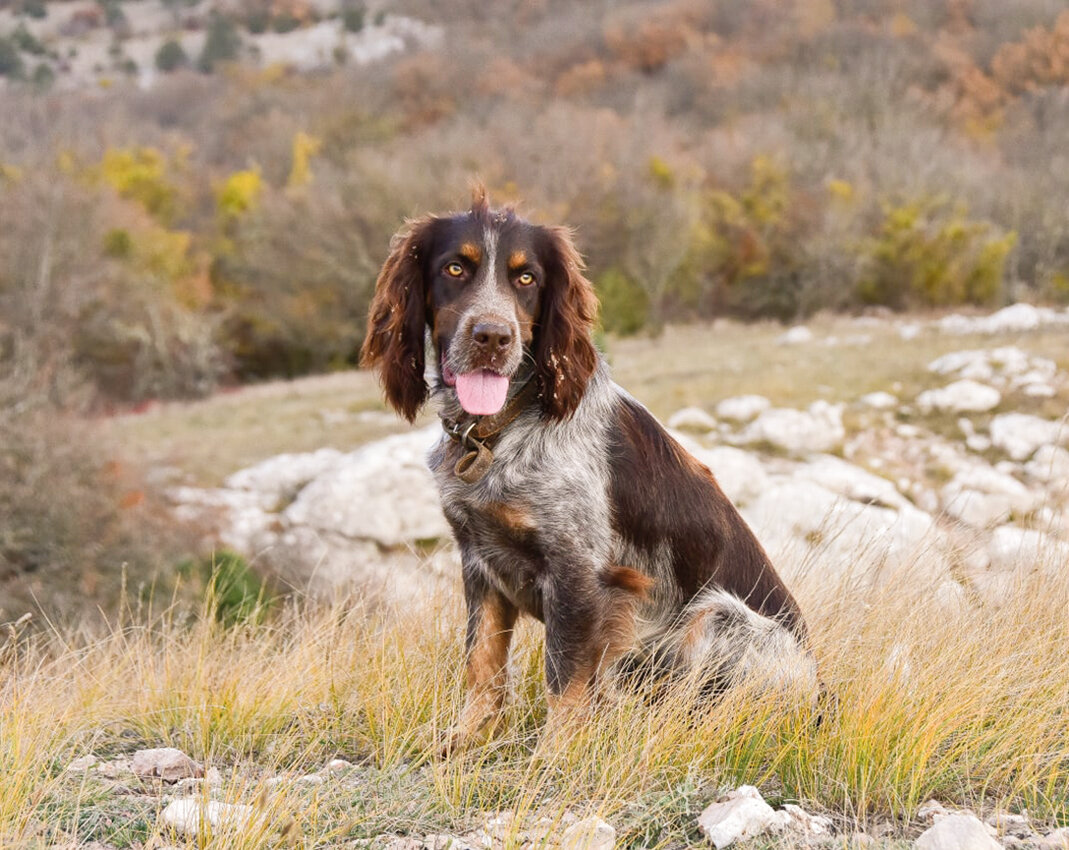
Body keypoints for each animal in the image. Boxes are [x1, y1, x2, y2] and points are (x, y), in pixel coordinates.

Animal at [361, 188, 816, 752]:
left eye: (526, 278)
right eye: (455, 268)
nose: (493, 337)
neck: (501, 429)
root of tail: (824, 701)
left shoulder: (579, 572)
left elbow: (564, 678)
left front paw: (552, 756)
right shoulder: (477, 560)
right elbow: (481, 662)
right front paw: (464, 737)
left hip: (719, 616)